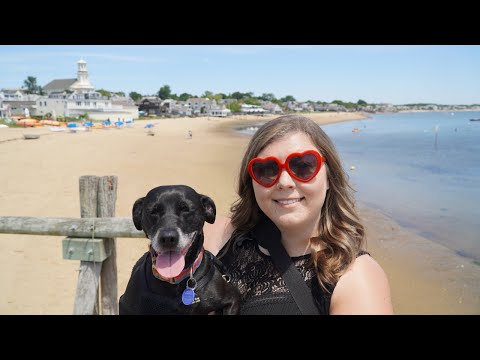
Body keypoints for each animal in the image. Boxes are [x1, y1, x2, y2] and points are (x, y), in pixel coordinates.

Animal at [118, 186, 242, 316]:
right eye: (153, 211)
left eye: (185, 209)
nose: (168, 238)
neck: (174, 281)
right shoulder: (125, 306)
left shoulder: (232, 299)